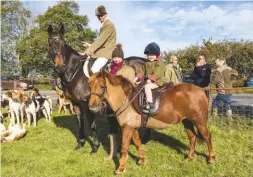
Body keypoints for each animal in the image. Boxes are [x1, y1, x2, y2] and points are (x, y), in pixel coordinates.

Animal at [47, 24, 100, 152]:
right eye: (50, 44)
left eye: (63, 44)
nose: (60, 67)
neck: (76, 71)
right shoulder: (75, 103)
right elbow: (79, 122)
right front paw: (81, 143)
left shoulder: (86, 103)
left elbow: (91, 124)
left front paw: (95, 146)